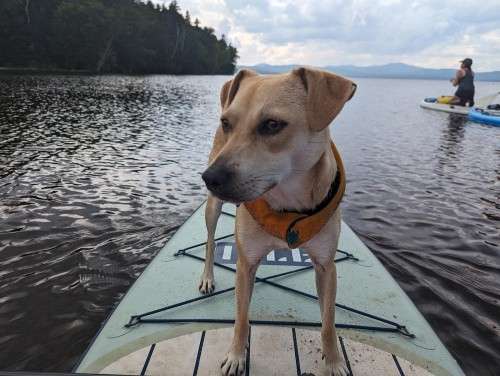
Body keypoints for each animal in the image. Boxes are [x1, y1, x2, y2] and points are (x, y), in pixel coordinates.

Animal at [201, 68, 358, 376]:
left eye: (272, 124)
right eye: (226, 123)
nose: (210, 178)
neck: (287, 206)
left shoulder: (326, 266)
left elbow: (328, 323)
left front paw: (334, 362)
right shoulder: (246, 262)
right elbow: (241, 320)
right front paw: (236, 356)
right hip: (212, 208)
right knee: (211, 242)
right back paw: (207, 277)